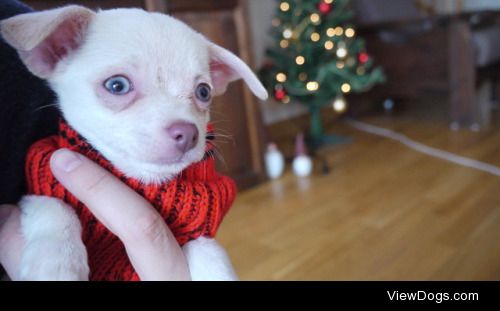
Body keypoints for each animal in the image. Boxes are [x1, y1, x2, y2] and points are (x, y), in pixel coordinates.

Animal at [1, 5, 268, 282]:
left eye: (204, 92)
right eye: (117, 85)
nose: (187, 133)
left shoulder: (196, 233)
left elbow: (209, 250)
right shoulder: (37, 187)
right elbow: (55, 206)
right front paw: (55, 262)